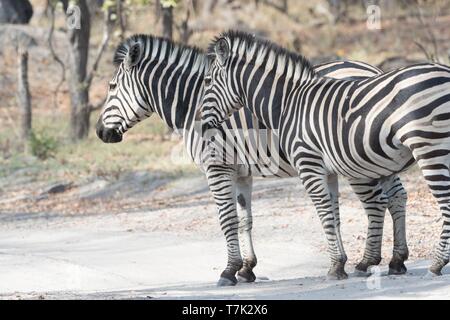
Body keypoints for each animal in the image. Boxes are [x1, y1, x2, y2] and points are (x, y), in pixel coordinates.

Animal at [96, 35, 410, 284]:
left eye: (111, 87)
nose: (100, 132)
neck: (196, 103)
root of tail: (373, 68)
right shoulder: (241, 172)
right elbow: (244, 219)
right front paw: (247, 269)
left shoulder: (216, 167)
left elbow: (226, 219)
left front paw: (229, 271)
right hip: (381, 155)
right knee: (396, 195)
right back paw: (396, 260)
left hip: (356, 160)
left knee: (375, 203)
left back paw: (367, 262)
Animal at [201, 30, 450, 280]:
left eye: (207, 81)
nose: (202, 126)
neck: (287, 103)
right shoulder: (328, 171)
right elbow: (333, 213)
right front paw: (341, 263)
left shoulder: (308, 164)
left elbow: (324, 213)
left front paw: (335, 266)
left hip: (430, 149)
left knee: (444, 201)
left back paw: (436, 264)